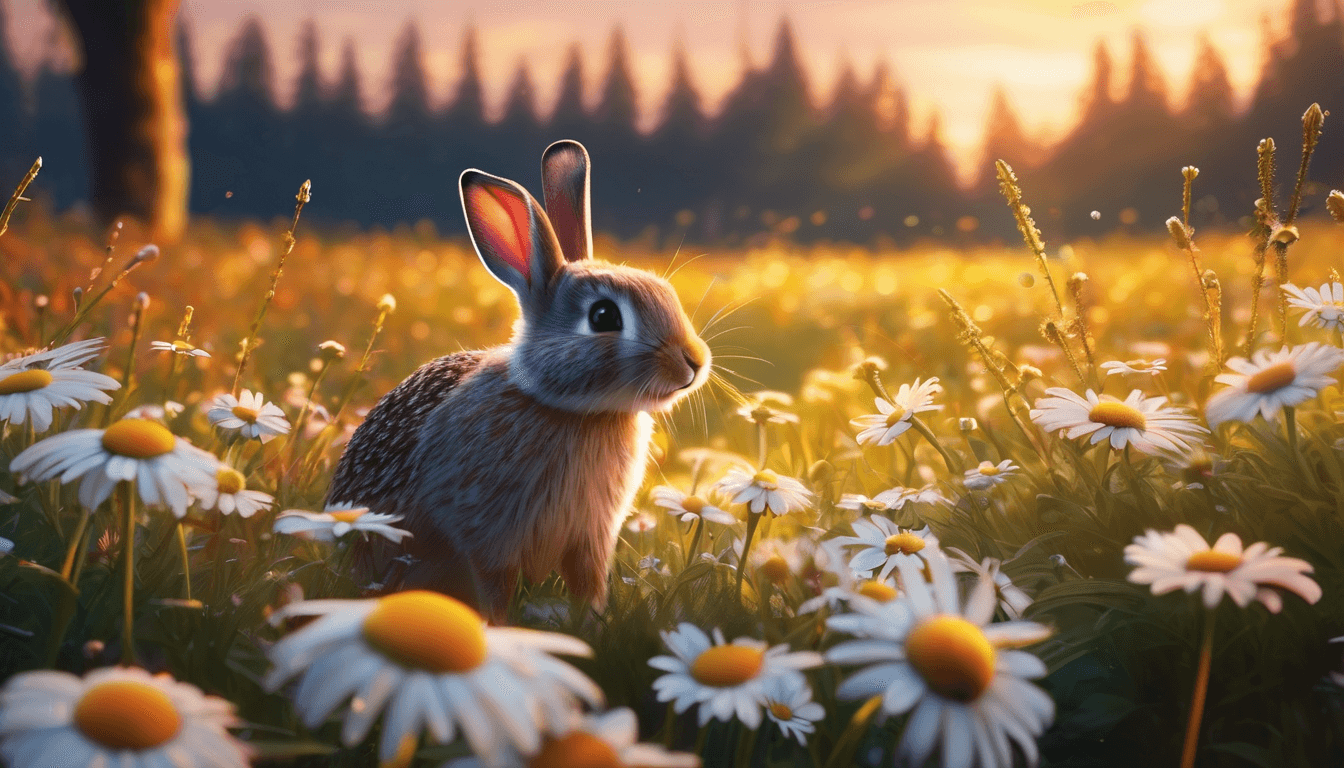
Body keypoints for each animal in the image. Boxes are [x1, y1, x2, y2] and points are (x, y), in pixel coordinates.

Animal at [326, 140, 711, 621]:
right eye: (604, 316)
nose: (694, 362)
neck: (572, 410)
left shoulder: (590, 537)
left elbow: (588, 583)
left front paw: (592, 623)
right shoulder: (488, 533)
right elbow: (495, 585)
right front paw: (498, 626)